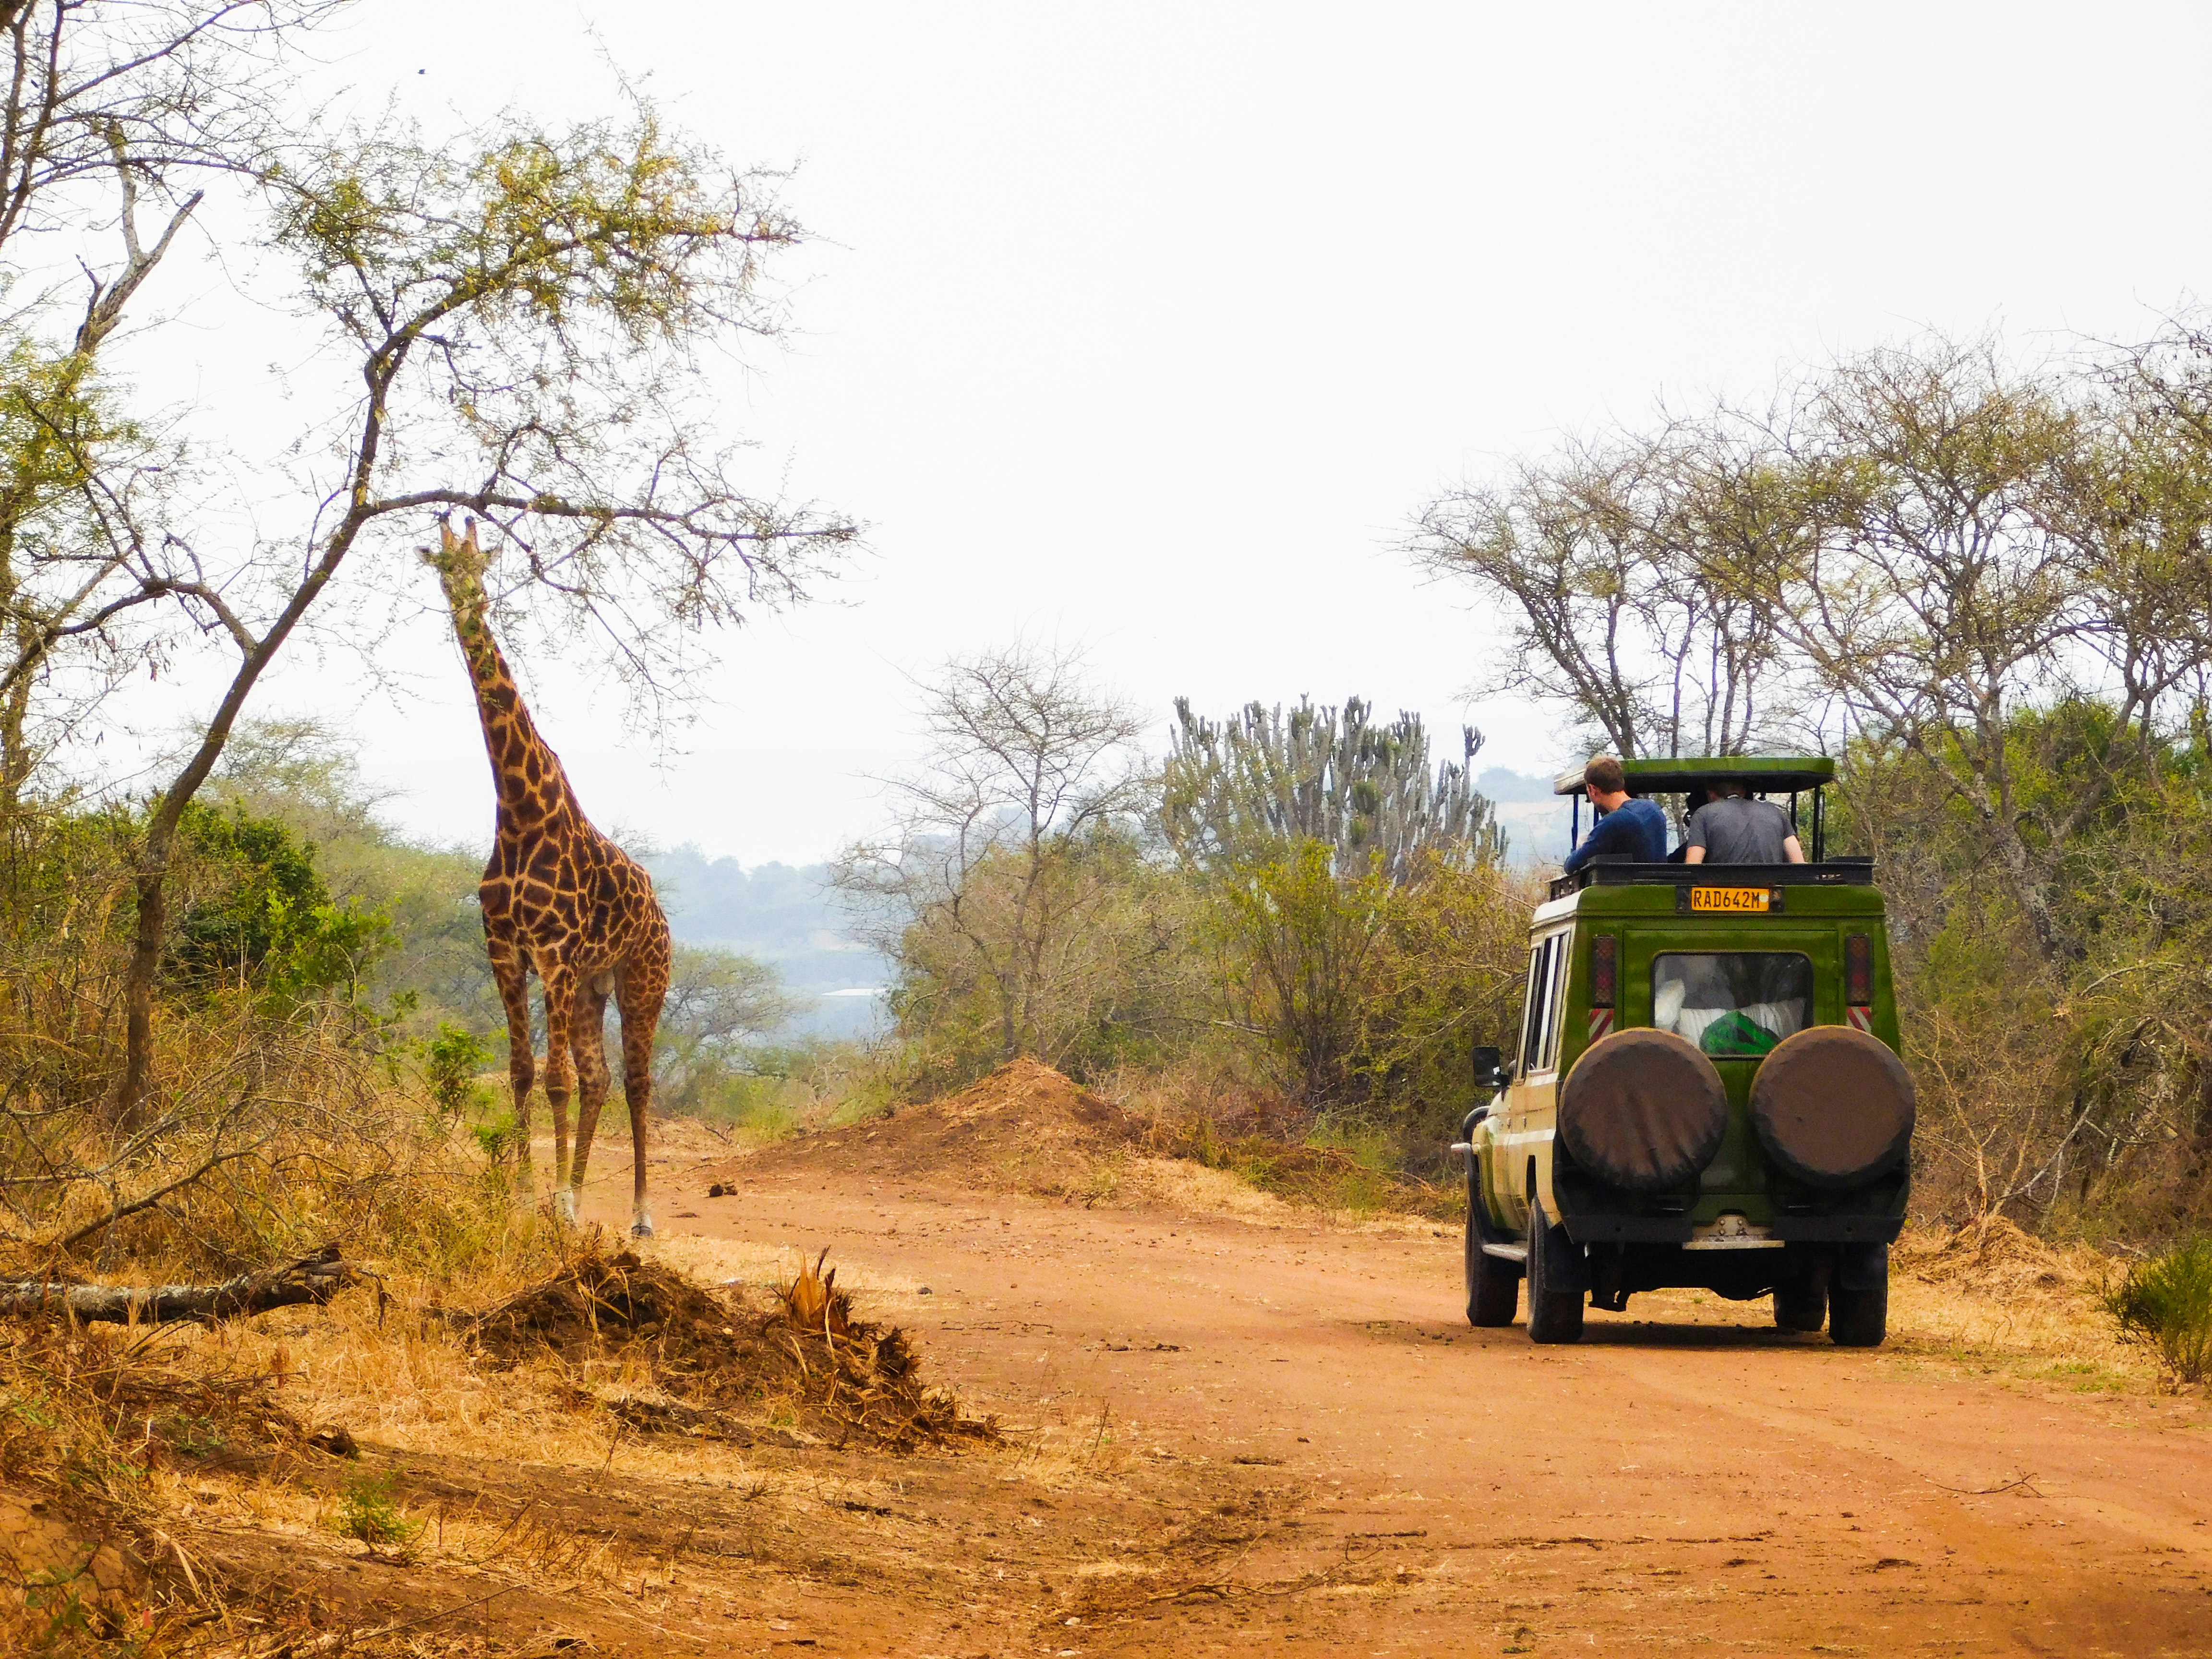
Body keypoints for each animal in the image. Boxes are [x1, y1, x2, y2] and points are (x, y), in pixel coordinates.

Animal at [423, 520, 672, 1237]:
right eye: (443, 566)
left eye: (481, 567)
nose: (466, 601)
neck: (518, 810)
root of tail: (661, 912)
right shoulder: (506, 950)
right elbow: (522, 1072)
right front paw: (522, 1197)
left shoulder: (555, 952)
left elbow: (554, 1078)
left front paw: (553, 1202)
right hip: (592, 987)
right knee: (599, 1079)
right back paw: (583, 1198)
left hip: (642, 981)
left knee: (636, 1083)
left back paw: (640, 1215)